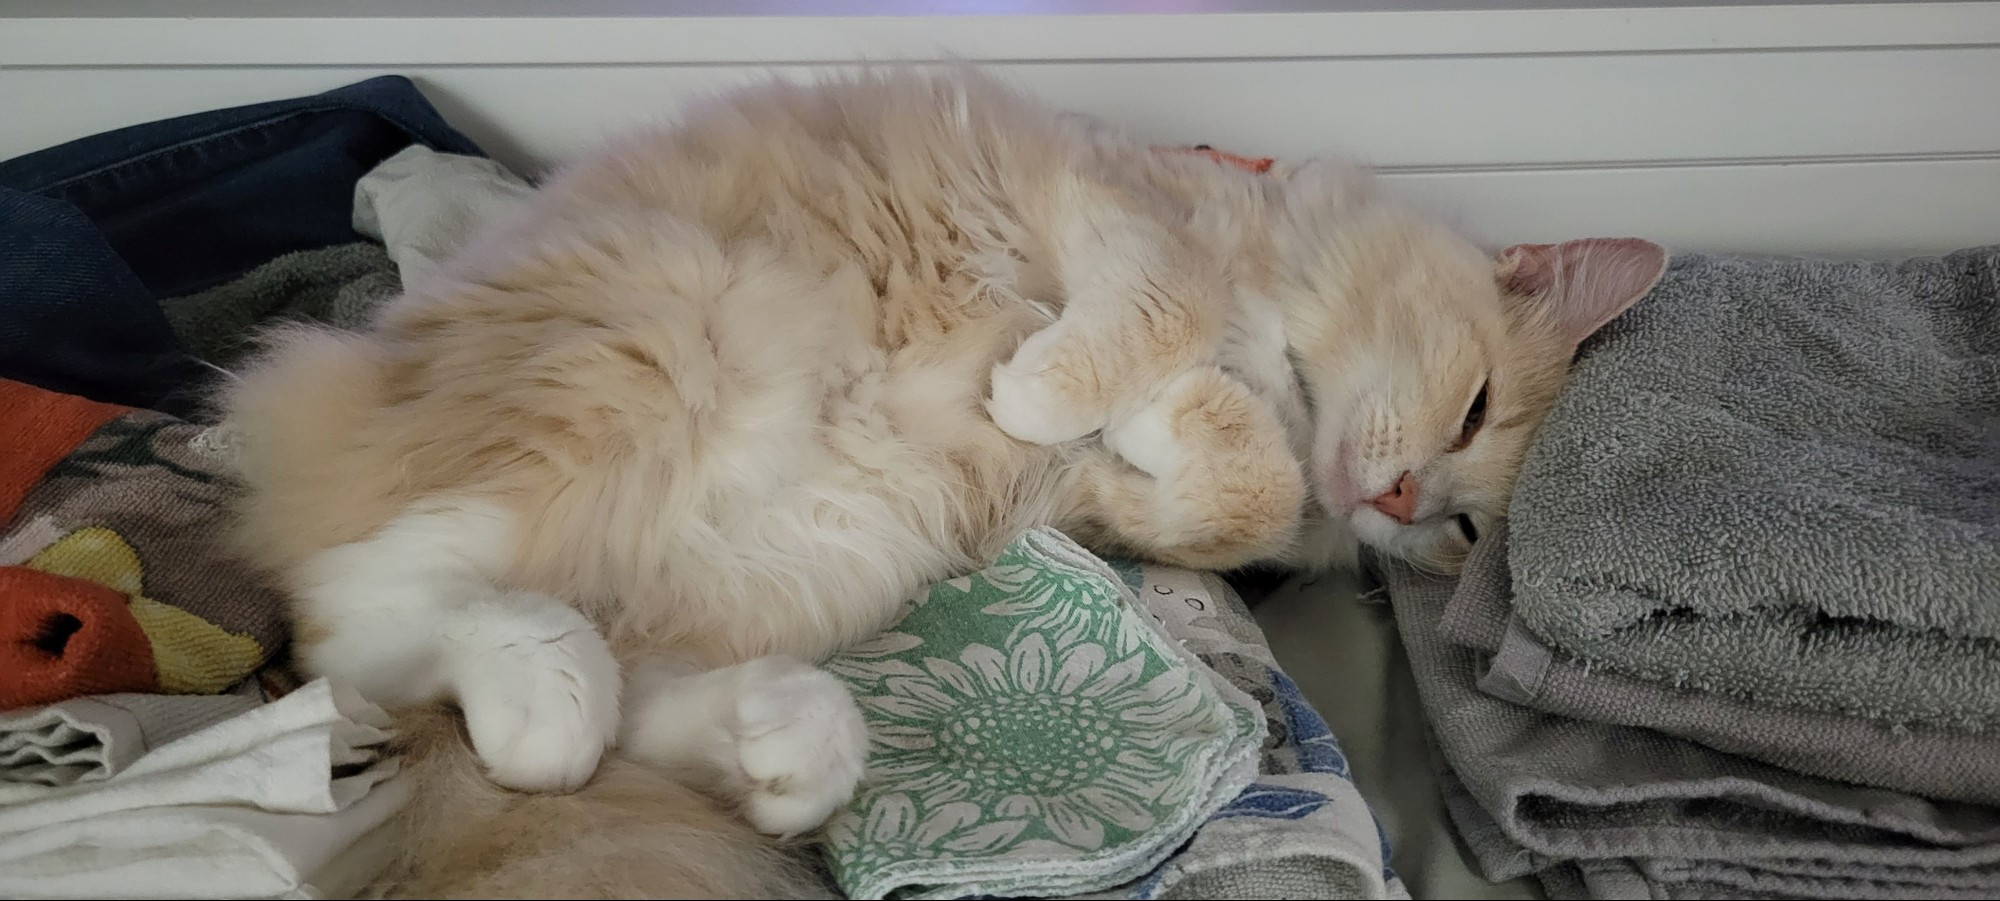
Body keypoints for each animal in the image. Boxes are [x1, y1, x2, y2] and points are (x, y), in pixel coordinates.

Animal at [219, 68, 1664, 892]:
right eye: (1472, 409)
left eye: (1465, 528)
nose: (1406, 506)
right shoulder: (1127, 220)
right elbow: (1168, 341)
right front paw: (1105, 395)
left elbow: (1217, 500)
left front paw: (1159, 435)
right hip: (669, 343)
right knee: (363, 615)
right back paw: (540, 682)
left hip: (820, 546)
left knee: (583, 705)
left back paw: (770, 742)